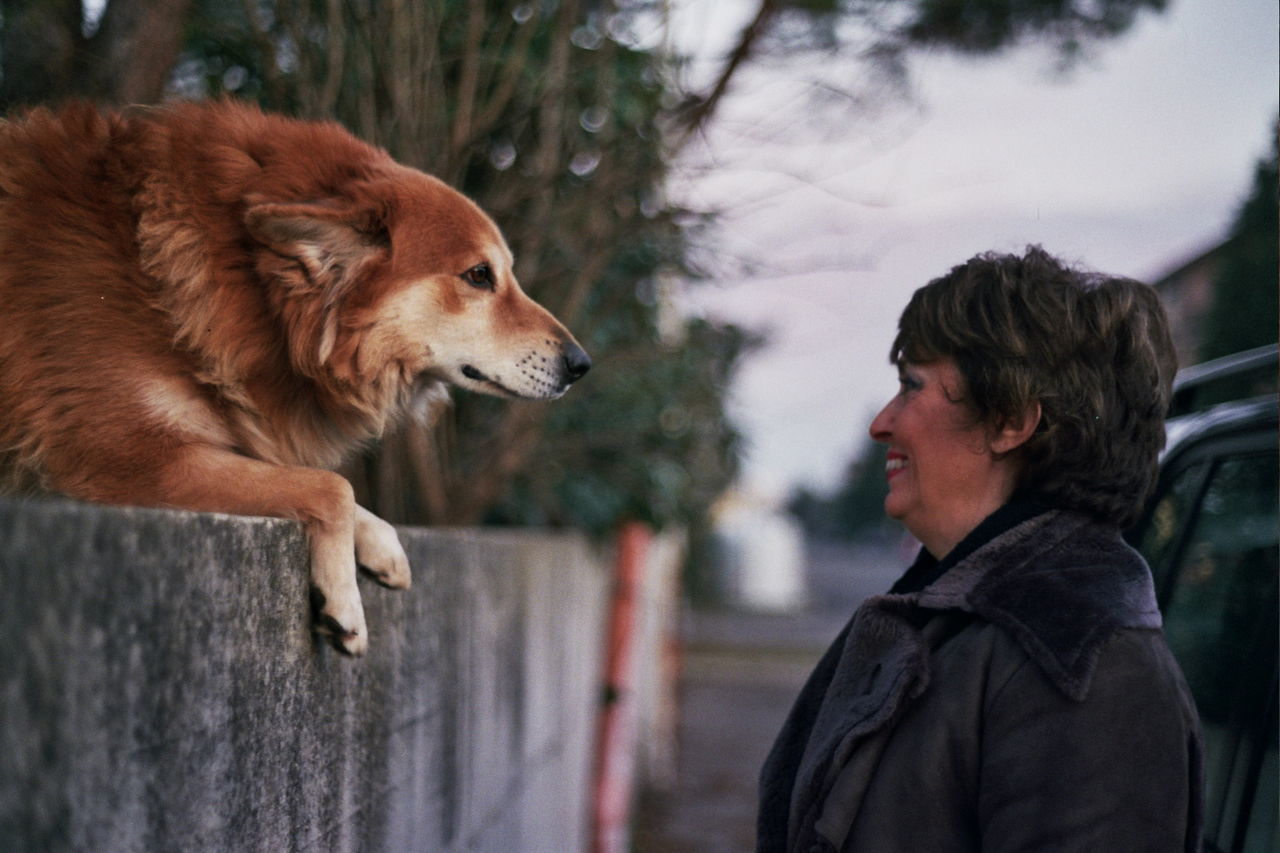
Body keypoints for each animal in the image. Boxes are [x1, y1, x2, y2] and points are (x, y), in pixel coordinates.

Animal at [0, 103, 586, 653]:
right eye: (479, 275)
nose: (581, 364)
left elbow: (312, 481)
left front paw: (380, 542)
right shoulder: (126, 459)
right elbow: (330, 485)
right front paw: (342, 597)